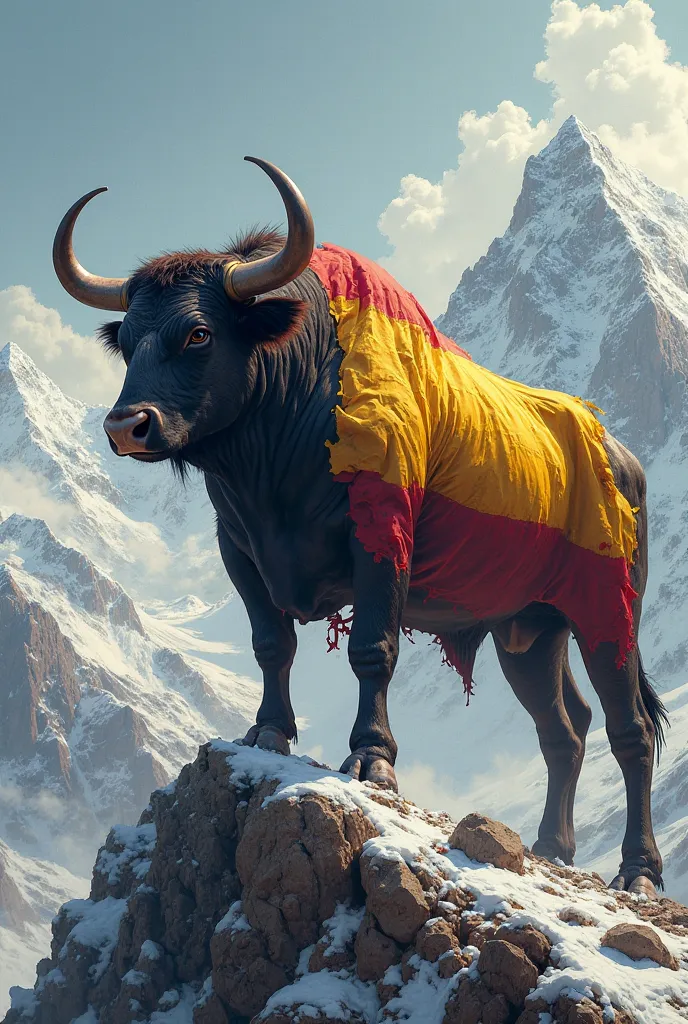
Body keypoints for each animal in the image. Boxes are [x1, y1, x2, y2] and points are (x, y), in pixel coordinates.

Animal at [52, 159, 667, 897]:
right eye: (127, 342)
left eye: (198, 332)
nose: (126, 426)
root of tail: (621, 457)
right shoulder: (240, 551)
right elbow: (271, 644)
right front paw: (267, 731)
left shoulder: (381, 539)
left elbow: (372, 650)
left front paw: (372, 759)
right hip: (529, 631)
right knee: (564, 728)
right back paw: (553, 846)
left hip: (607, 610)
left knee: (629, 729)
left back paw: (637, 872)